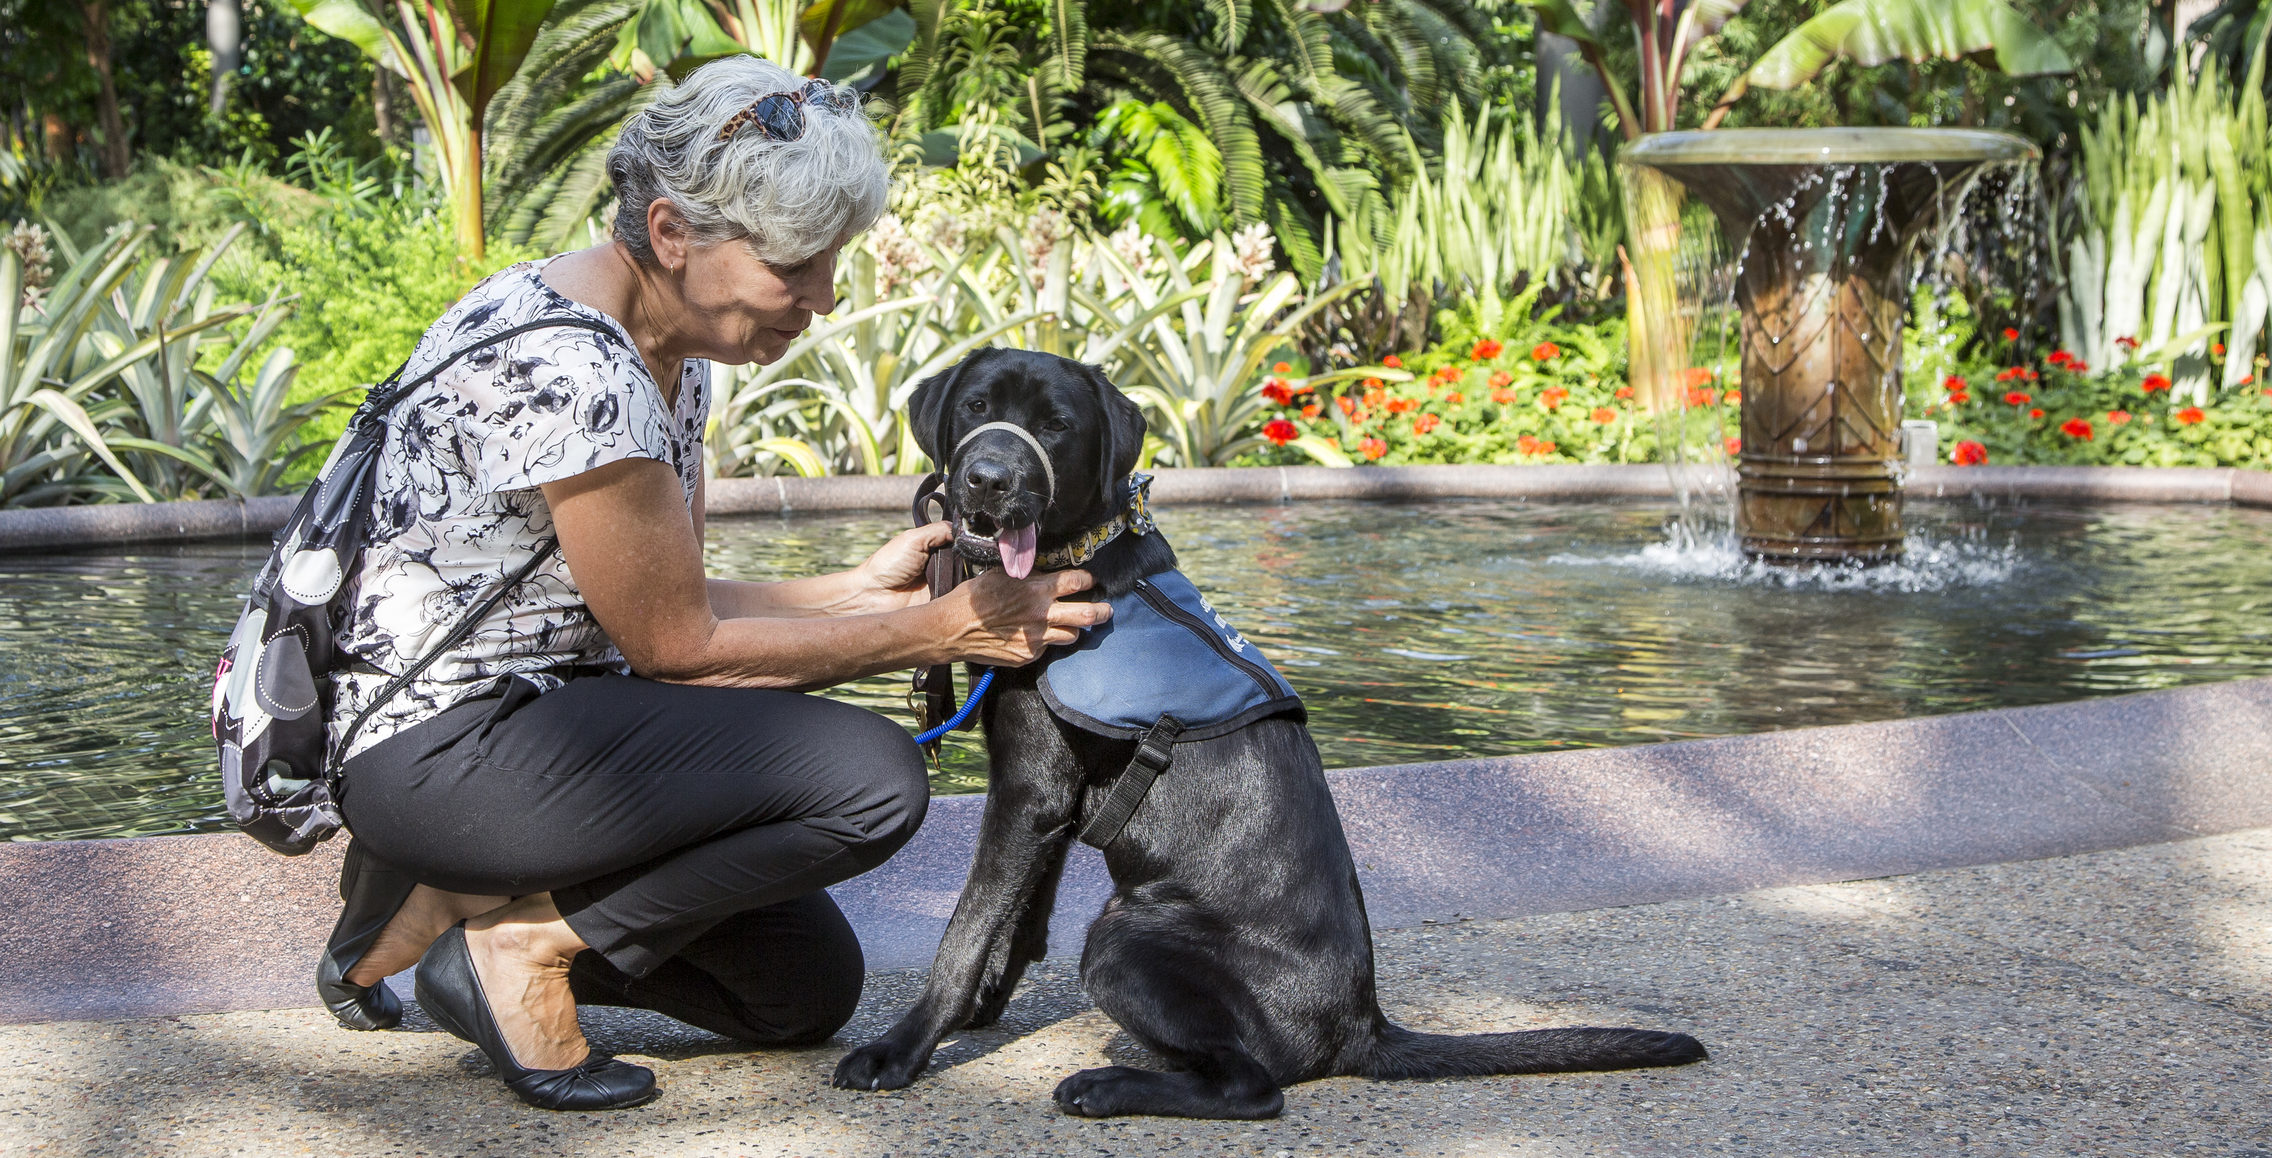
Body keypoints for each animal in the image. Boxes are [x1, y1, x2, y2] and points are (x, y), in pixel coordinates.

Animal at [836, 347, 1708, 1117]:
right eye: (977, 407)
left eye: (1055, 426)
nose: (988, 480)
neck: (1073, 559)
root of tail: (1363, 1025)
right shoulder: (1045, 798)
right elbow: (1017, 921)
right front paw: (979, 1010)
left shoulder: (1027, 791)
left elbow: (966, 928)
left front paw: (903, 1049)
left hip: (1124, 935)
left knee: (1253, 1087)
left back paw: (1108, 1087)